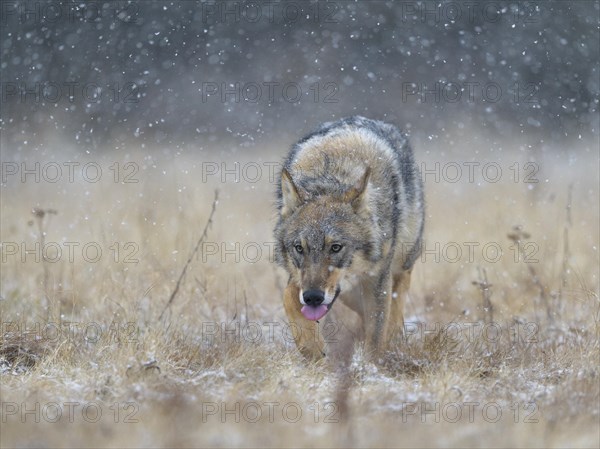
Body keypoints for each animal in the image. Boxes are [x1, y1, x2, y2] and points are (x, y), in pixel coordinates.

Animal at [274, 116, 424, 360]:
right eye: (299, 247)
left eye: (336, 247)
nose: (313, 297)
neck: (330, 173)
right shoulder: (298, 280)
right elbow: (288, 297)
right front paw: (313, 350)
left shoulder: (378, 279)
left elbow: (376, 335)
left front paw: (371, 367)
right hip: (349, 294)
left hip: (400, 262)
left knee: (397, 299)